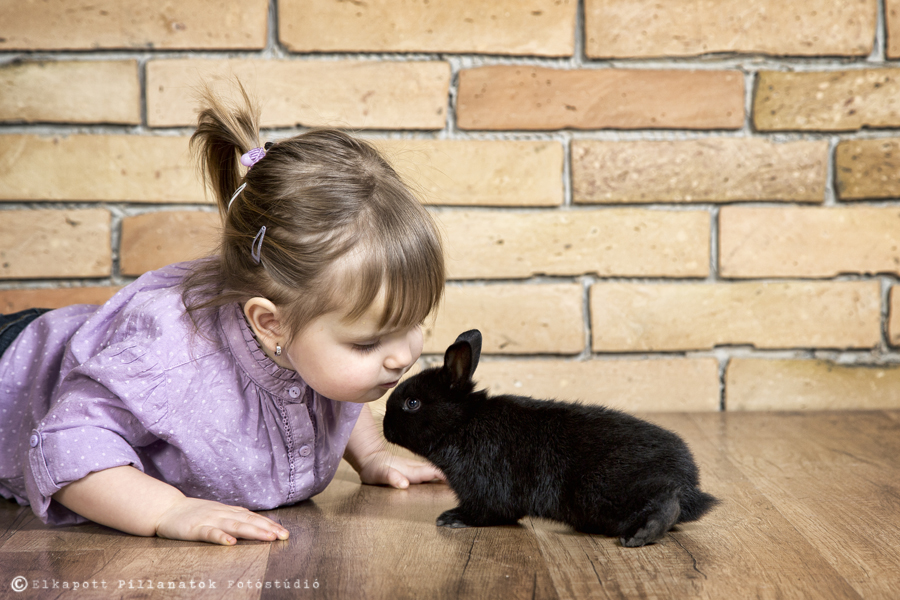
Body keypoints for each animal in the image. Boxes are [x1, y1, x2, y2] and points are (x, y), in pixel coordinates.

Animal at [384, 330, 720, 548]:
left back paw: (642, 535)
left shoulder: (484, 489)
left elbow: (486, 512)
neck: (462, 423)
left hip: (598, 493)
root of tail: (688, 480)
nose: (385, 427)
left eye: (412, 403)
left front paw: (451, 518)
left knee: (665, 503)